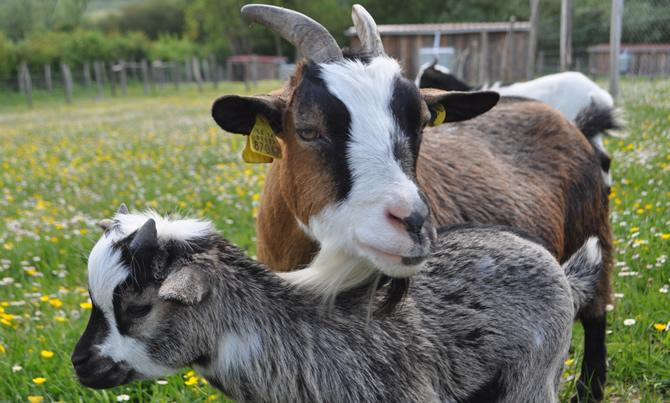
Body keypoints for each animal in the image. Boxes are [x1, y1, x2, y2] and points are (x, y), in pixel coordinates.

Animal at [214, 3, 616, 403]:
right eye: (307, 129)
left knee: (596, 311)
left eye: (422, 123)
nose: (413, 222)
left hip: (595, 227)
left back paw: (589, 390)